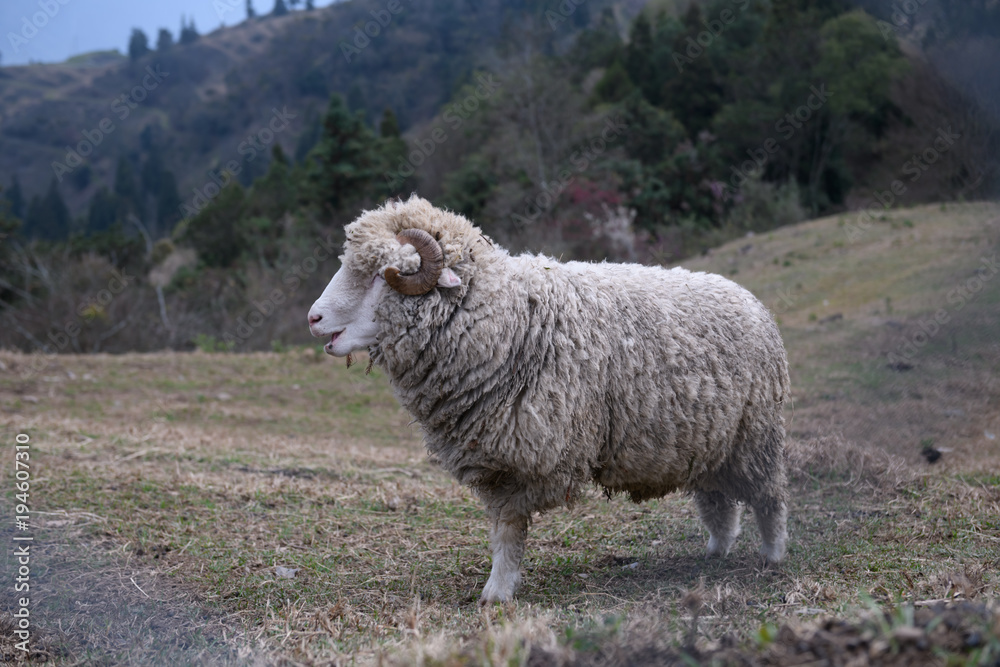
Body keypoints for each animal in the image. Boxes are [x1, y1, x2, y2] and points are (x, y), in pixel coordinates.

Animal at [308, 196, 790, 603]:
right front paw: (498, 587)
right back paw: (716, 551)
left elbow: (508, 528)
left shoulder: (524, 453)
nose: (313, 318)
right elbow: (503, 530)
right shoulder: (495, 455)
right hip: (708, 439)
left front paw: (497, 592)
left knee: (769, 497)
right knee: (718, 501)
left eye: (382, 274)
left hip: (755, 434)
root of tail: (747, 297)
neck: (507, 316)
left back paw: (773, 555)